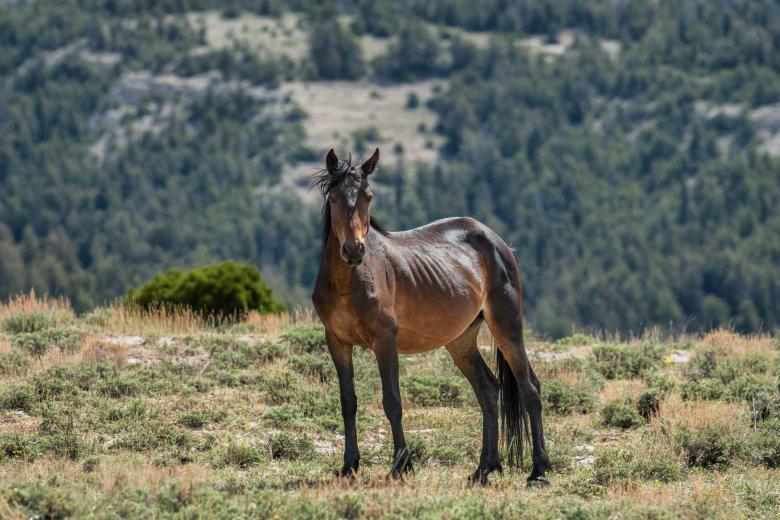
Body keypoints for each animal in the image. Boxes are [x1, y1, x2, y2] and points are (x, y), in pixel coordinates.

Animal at [311, 148, 550, 486]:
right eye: (332, 198)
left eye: (369, 196)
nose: (354, 250)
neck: (350, 282)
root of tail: (495, 240)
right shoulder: (337, 342)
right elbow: (348, 402)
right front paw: (349, 466)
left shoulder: (384, 341)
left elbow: (392, 402)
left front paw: (401, 466)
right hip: (461, 341)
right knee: (489, 391)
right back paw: (483, 470)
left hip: (507, 327)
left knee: (529, 388)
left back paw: (539, 471)